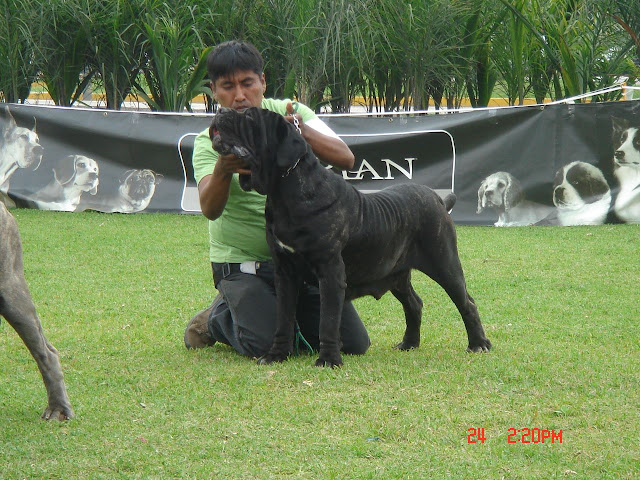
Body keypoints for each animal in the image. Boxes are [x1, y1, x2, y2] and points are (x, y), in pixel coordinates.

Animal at [210, 108, 490, 368]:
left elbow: (328, 320)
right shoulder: (285, 272)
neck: (284, 192)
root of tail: (438, 198)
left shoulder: (330, 271)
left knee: (467, 302)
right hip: (396, 273)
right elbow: (283, 318)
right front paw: (276, 355)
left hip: (445, 263)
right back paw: (409, 343)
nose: (221, 110)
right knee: (414, 304)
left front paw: (328, 360)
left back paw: (478, 344)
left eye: (249, 117)